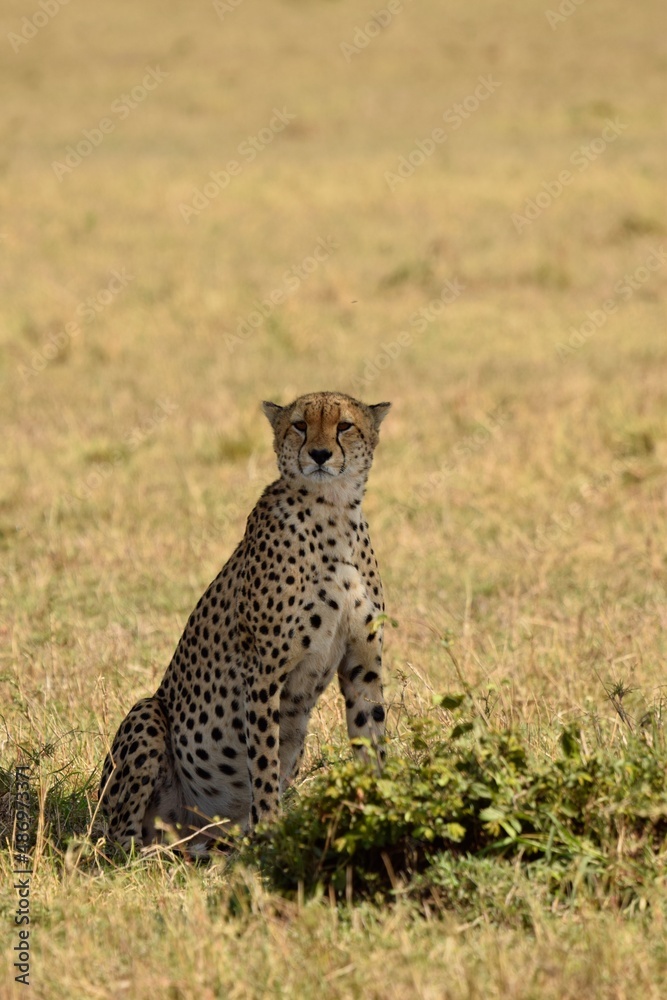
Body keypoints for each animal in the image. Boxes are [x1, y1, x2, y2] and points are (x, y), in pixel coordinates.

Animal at [98, 390, 391, 849]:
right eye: (299, 425)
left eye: (344, 425)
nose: (319, 454)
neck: (333, 511)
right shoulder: (264, 671)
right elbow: (264, 760)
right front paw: (271, 829)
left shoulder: (363, 667)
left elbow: (372, 739)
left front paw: (381, 807)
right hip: (147, 717)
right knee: (120, 840)